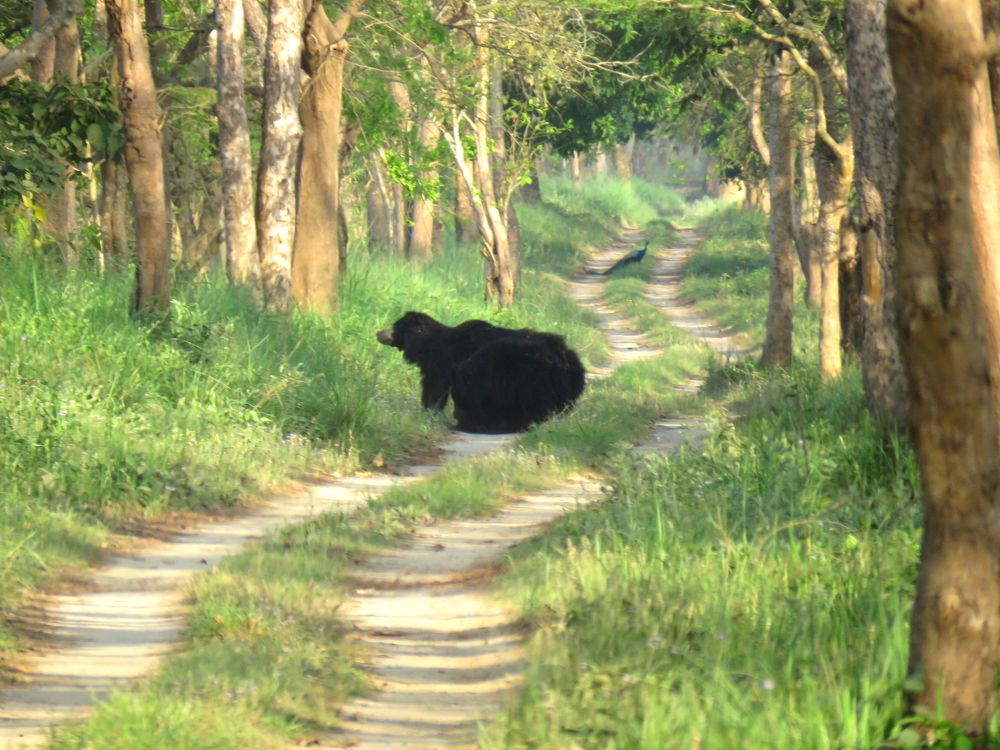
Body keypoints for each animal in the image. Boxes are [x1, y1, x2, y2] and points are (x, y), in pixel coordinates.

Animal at [376, 311, 586, 434]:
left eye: (395, 326)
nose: (378, 333)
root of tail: (562, 356)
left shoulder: (441, 362)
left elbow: (435, 388)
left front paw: (428, 412)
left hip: (519, 370)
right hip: (568, 378)